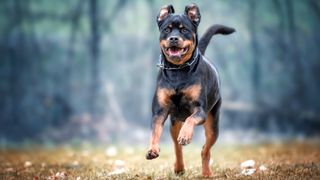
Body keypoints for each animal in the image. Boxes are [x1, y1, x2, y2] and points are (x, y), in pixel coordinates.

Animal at [146, 2, 234, 177]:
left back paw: (206, 173)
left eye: (184, 29)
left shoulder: (199, 110)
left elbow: (191, 119)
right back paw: (179, 167)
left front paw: (186, 135)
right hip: (174, 123)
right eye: (166, 29)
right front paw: (152, 149)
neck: (178, 70)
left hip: (213, 124)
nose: (174, 38)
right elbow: (155, 131)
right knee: (177, 147)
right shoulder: (159, 111)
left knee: (205, 150)